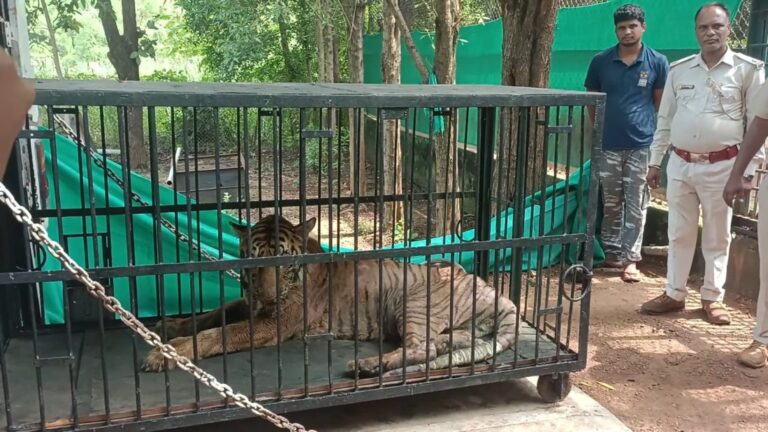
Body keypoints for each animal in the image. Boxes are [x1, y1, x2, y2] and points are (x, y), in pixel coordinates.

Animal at [141, 214, 519, 376]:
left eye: (282, 261)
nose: (267, 299)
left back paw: (366, 365)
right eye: (254, 259)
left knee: (420, 348)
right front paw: (169, 326)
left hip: (411, 301)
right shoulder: (249, 306)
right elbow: (213, 314)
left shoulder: (273, 323)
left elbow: (216, 334)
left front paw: (164, 353)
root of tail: (496, 292)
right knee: (441, 344)